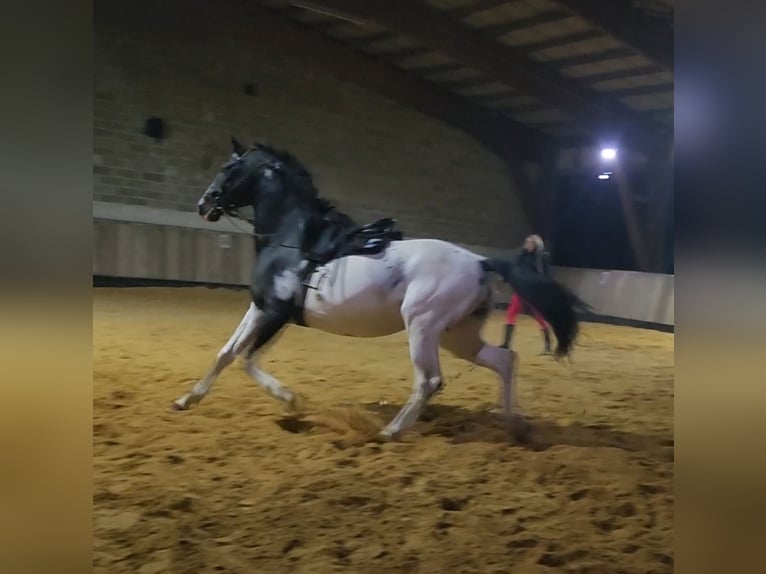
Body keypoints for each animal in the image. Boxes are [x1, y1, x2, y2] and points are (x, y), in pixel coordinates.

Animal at [171, 138, 584, 440]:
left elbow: (248, 360)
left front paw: (291, 402)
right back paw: (512, 424)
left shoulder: (277, 313)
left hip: (422, 325)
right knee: (504, 360)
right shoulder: (260, 307)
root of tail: (481, 262)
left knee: (430, 380)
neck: (292, 239)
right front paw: (186, 400)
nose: (204, 204)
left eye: (228, 168)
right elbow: (227, 353)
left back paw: (391, 431)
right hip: (458, 335)